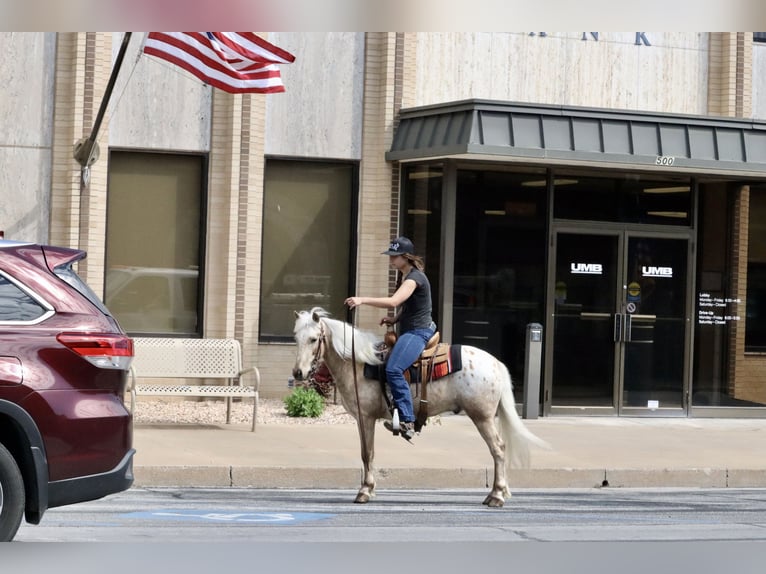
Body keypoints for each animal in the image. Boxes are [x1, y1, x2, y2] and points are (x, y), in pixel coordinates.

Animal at [292, 308, 548, 510]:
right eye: (296, 338)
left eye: (314, 339)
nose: (298, 373)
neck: (360, 363)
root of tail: (496, 363)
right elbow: (368, 454)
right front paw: (369, 489)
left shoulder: (365, 417)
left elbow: (367, 453)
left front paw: (365, 491)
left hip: (482, 417)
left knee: (499, 449)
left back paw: (496, 496)